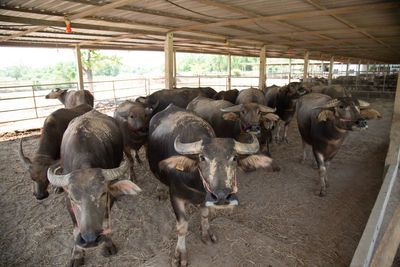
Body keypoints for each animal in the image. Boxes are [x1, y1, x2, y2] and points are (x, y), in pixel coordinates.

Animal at [47, 109, 141, 267]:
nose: (90, 239)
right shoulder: (68, 205)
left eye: (102, 194)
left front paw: (107, 245)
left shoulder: (108, 200)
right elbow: (76, 228)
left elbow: (105, 221)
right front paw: (77, 255)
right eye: (73, 198)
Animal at [146, 104, 278, 266]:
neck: (196, 183)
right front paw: (180, 255)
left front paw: (206, 234)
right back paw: (160, 190)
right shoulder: (175, 195)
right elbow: (182, 226)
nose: (222, 197)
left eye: (235, 158)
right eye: (202, 158)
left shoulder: (206, 197)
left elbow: (204, 214)